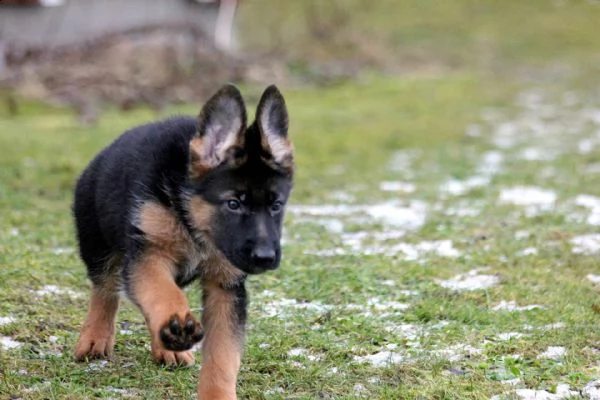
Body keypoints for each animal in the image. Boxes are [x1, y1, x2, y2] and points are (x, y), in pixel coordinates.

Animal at [74, 83, 294, 398]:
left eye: (276, 206)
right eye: (233, 204)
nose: (265, 258)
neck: (191, 220)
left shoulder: (225, 287)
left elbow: (223, 357)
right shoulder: (147, 256)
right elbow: (162, 292)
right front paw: (174, 320)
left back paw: (168, 347)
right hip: (98, 247)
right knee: (104, 290)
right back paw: (96, 338)